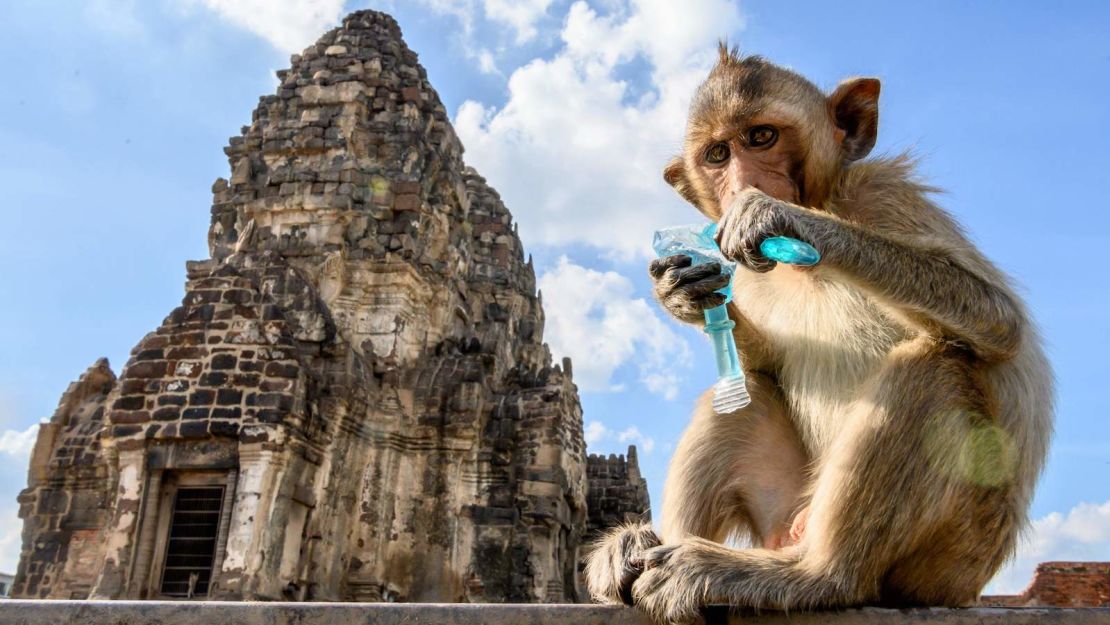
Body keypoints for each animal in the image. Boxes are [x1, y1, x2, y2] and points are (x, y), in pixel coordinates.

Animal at [586, 46, 1052, 621]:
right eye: (718, 154)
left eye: (761, 137)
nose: (742, 181)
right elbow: (760, 364)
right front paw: (683, 291)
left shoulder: (886, 195)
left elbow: (998, 320)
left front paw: (783, 218)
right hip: (784, 515)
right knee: (749, 391)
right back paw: (639, 554)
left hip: (953, 551)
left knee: (934, 365)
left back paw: (816, 576)